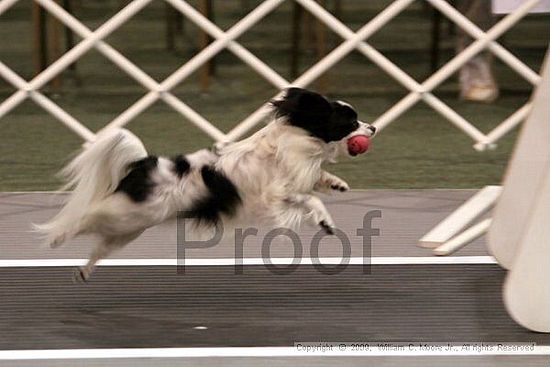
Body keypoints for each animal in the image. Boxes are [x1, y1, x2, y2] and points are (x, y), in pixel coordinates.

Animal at [36, 88, 378, 282]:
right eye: (350, 122)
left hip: (130, 227)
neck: (299, 136)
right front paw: (325, 221)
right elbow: (310, 199)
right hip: (123, 215)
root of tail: (144, 164)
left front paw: (336, 183)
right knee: (83, 219)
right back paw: (56, 237)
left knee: (101, 244)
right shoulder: (278, 195)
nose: (373, 127)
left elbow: (317, 180)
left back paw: (84, 271)